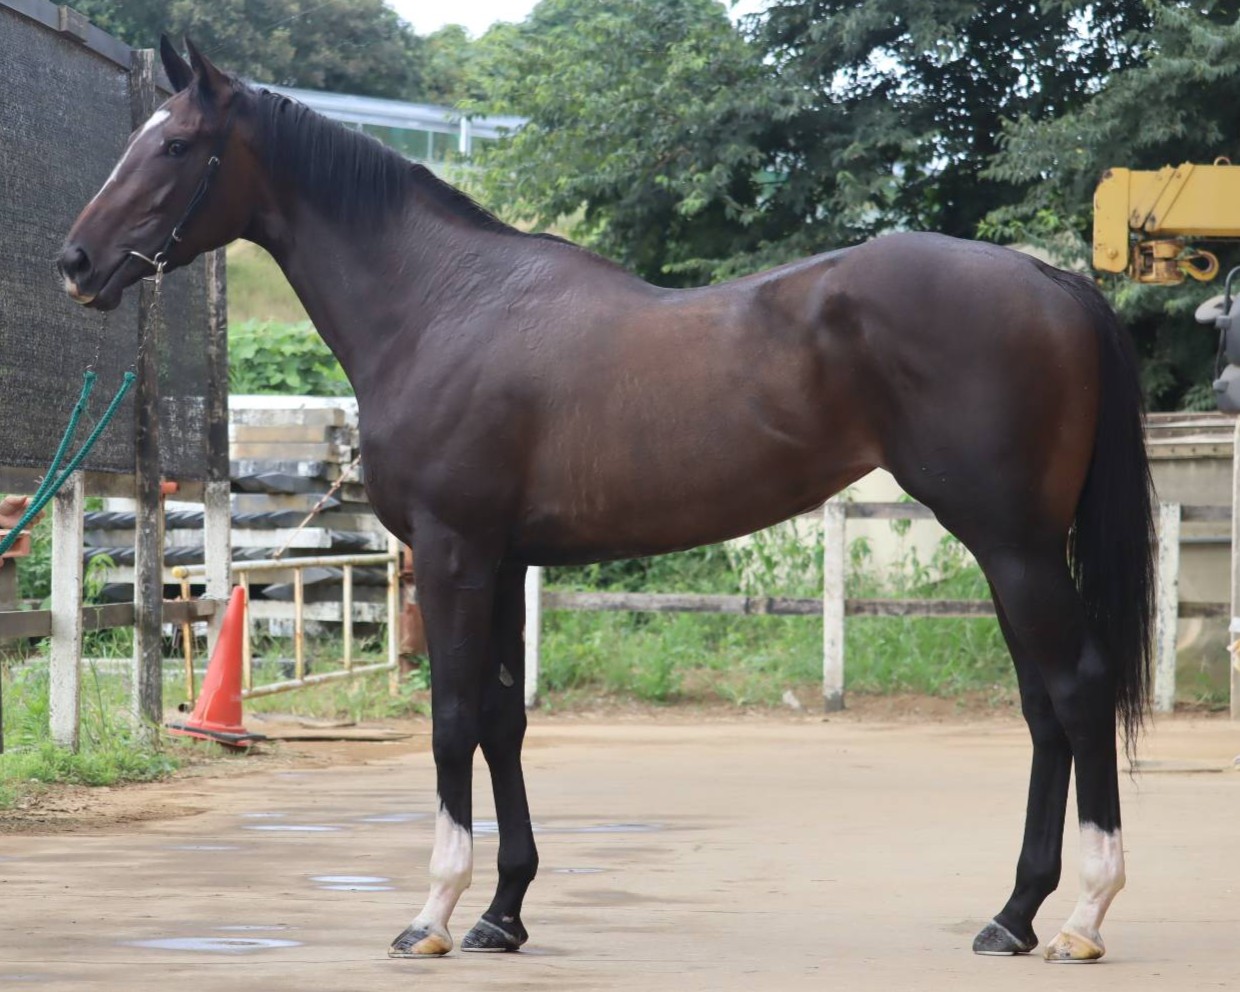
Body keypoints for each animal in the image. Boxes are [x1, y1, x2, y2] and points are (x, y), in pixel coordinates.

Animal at [59, 38, 1154, 964]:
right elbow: (503, 719)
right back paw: (1013, 914)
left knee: (1075, 690)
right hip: (1009, 550)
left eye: (177, 145)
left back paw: (1085, 915)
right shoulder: (502, 560)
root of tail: (1054, 280)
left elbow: (450, 717)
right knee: (1042, 710)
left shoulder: (454, 553)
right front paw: (503, 913)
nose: (75, 262)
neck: (438, 305)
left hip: (1012, 543)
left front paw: (432, 914)